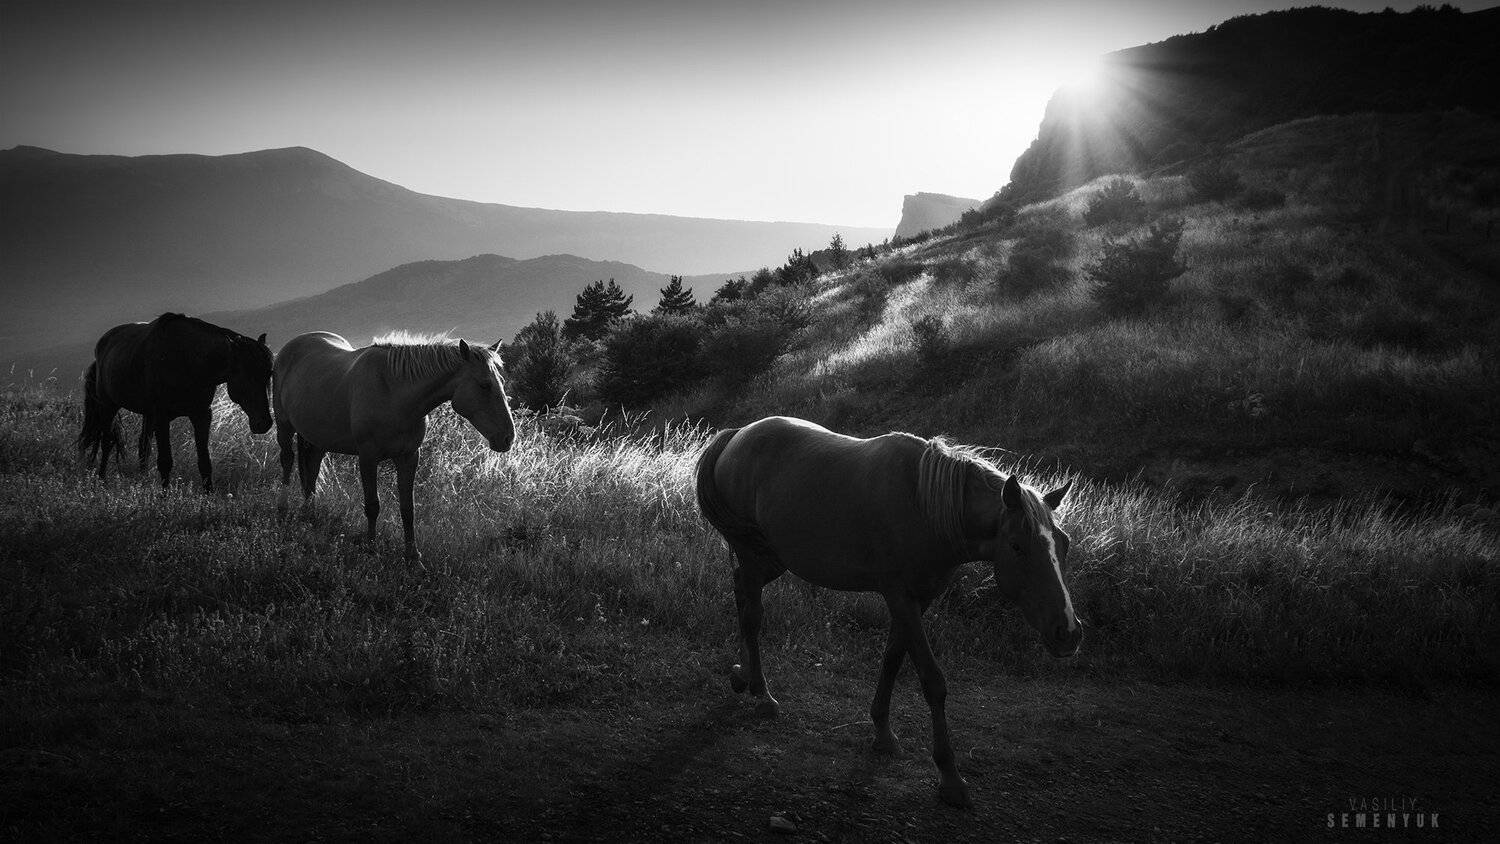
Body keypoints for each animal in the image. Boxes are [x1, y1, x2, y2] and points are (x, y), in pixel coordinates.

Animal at [77, 312, 274, 490]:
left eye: (268, 375)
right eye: (246, 377)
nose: (264, 423)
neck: (187, 360)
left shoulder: (202, 415)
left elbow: (205, 462)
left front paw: (208, 498)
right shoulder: (162, 417)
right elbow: (165, 461)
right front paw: (164, 498)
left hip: (147, 415)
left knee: (143, 446)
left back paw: (142, 482)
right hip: (108, 406)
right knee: (107, 442)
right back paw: (101, 480)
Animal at [273, 331, 516, 561]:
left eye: (502, 383)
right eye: (484, 385)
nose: (508, 438)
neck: (393, 393)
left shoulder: (409, 456)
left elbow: (408, 508)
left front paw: (413, 557)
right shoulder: (368, 457)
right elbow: (372, 505)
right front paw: (371, 550)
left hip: (317, 439)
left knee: (311, 471)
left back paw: (309, 516)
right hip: (284, 426)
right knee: (287, 461)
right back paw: (282, 510)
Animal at [695, 416, 1080, 809]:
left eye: (1063, 543)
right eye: (1017, 546)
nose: (1068, 632)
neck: (925, 508)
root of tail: (737, 435)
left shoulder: (919, 600)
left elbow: (893, 658)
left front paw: (882, 732)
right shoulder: (900, 597)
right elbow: (932, 680)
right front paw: (950, 776)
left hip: (770, 559)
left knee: (742, 596)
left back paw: (742, 675)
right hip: (753, 553)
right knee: (752, 615)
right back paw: (761, 693)